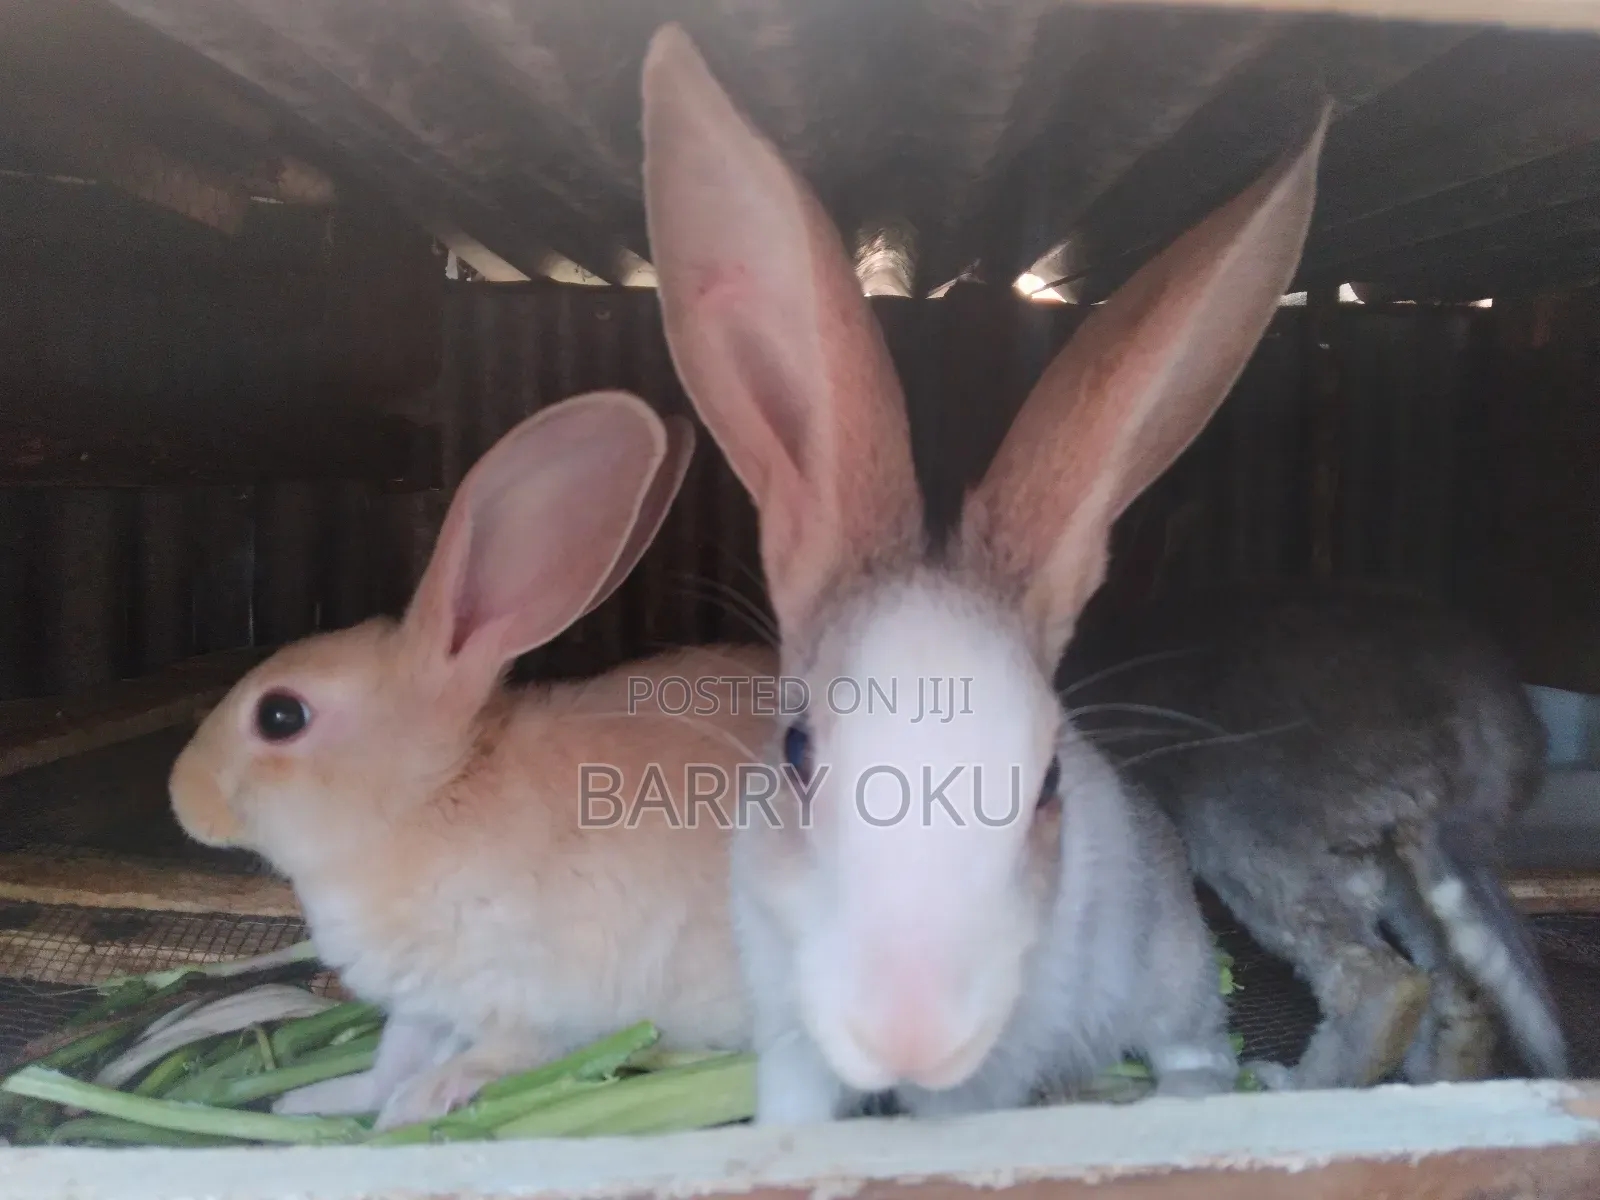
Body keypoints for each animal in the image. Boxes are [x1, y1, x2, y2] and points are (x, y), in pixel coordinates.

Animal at [167, 389, 779, 1131]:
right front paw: (313, 1102)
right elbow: (390, 1060)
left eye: (280, 716)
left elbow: (490, 1058)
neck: (428, 799)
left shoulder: (529, 1004)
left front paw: (414, 1107)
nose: (181, 794)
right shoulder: (424, 1006)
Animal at [637, 23, 1326, 1124]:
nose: (910, 1032)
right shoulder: (785, 1022)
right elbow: (796, 1107)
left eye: (1045, 784)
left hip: (1170, 964)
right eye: (796, 752)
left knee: (1193, 1040)